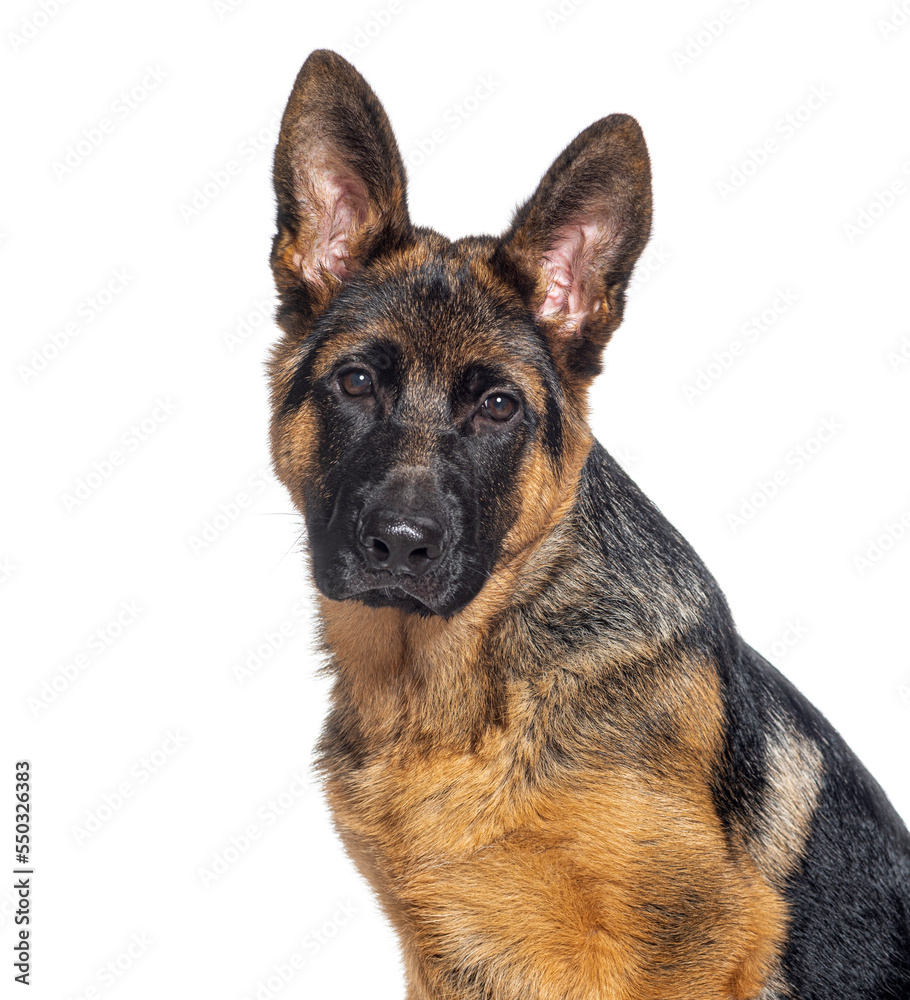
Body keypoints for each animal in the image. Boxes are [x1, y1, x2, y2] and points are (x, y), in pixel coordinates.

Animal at [266, 48, 910, 1000]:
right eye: (355, 382)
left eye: (498, 406)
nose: (399, 545)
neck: (461, 688)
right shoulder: (445, 959)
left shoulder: (692, 942)